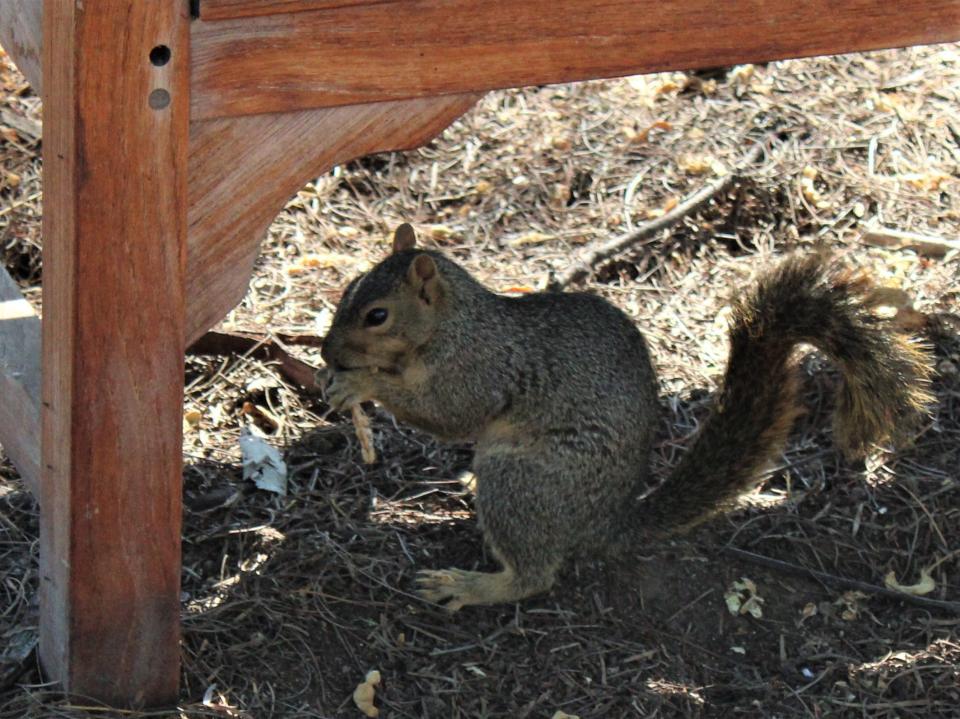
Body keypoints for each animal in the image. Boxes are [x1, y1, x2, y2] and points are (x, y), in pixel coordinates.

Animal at [318, 222, 932, 612]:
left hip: (524, 478)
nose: (326, 352)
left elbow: (447, 413)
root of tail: (608, 523)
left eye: (377, 316)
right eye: (347, 289)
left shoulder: (480, 367)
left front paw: (360, 382)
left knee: (535, 575)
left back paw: (470, 587)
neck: (452, 325)